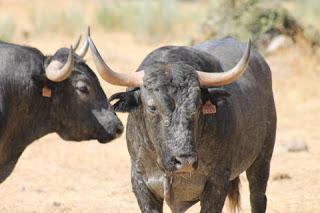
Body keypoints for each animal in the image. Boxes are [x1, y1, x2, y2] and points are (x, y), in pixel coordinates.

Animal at [89, 35, 276, 213]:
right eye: (152, 107)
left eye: (198, 105)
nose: (184, 161)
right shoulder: (141, 182)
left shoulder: (217, 182)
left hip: (262, 159)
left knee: (258, 198)